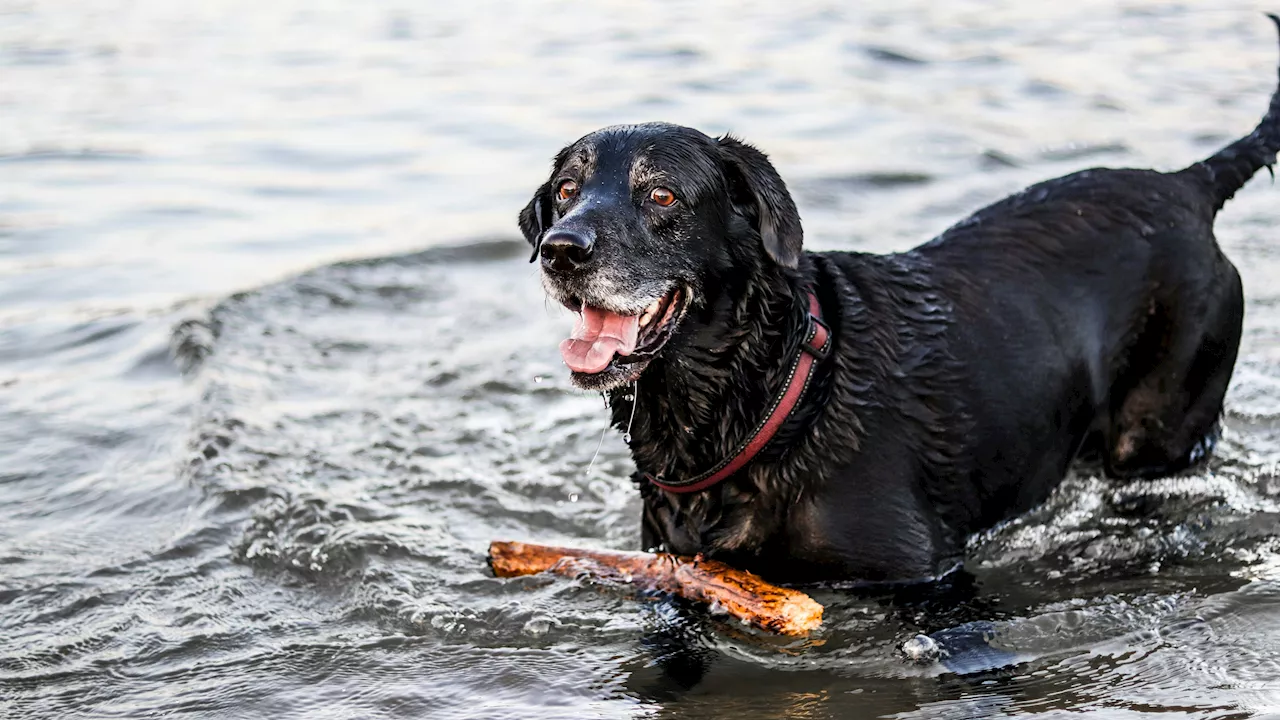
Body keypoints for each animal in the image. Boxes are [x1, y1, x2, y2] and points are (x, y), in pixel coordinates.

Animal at [519, 16, 1280, 584]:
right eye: (565, 190)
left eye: (662, 195)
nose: (561, 250)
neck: (771, 392)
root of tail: (1187, 185)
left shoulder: (925, 576)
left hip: (1160, 428)